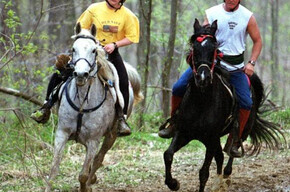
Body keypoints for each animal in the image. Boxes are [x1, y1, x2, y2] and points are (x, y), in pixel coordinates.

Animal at [45, 22, 144, 192]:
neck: (82, 102)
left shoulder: (93, 140)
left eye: (93, 50)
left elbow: (83, 174)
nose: (80, 74)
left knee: (99, 158)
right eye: (73, 49)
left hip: (111, 135)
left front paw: (86, 186)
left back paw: (92, 179)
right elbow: (53, 169)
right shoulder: (62, 133)